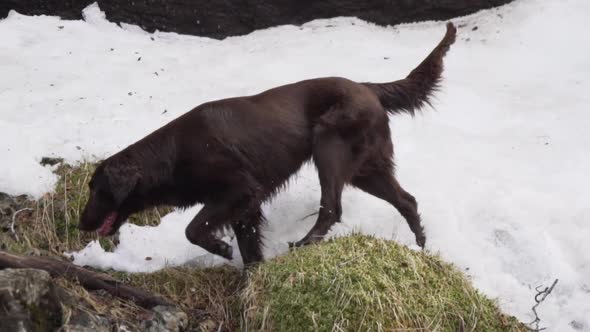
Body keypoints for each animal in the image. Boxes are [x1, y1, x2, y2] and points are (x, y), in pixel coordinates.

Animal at [78, 22, 458, 264]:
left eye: (98, 190)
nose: (81, 224)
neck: (170, 155)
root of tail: (368, 87)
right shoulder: (245, 207)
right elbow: (248, 249)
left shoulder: (239, 189)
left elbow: (192, 229)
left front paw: (221, 249)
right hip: (366, 168)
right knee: (407, 200)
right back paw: (422, 247)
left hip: (328, 147)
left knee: (332, 207)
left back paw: (303, 243)